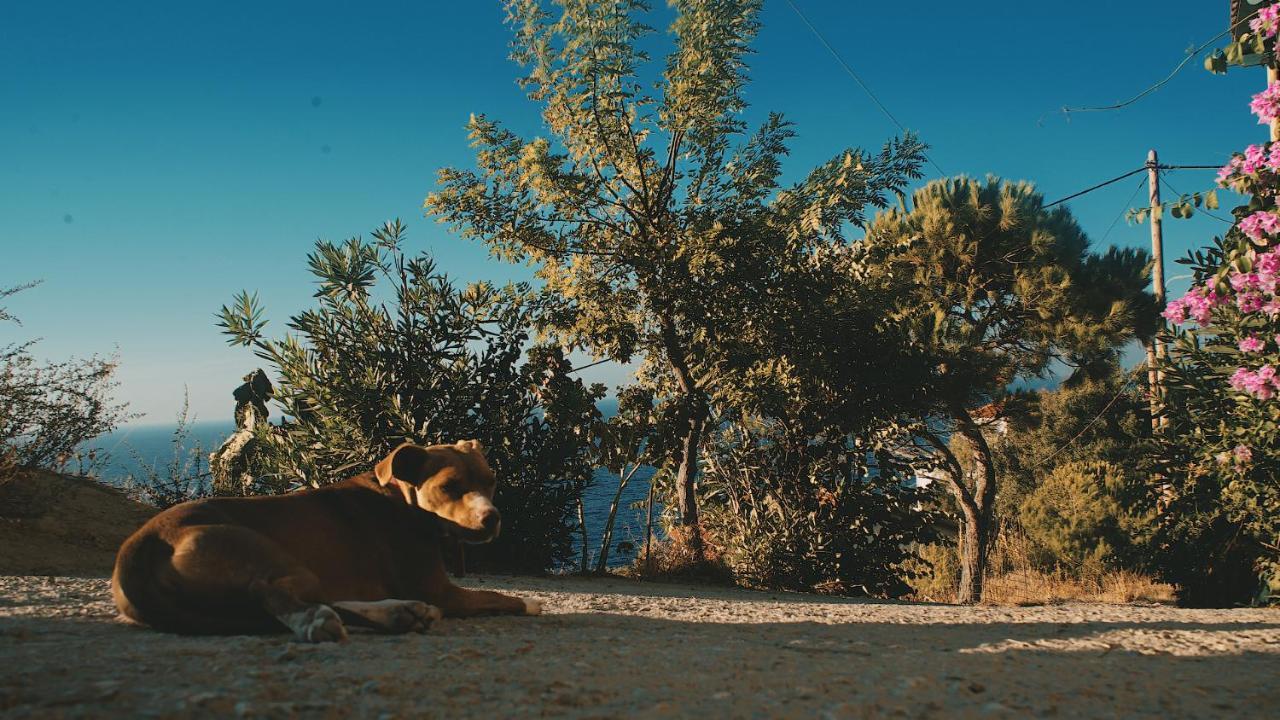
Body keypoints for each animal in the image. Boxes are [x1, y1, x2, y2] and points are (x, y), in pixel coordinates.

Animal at [111, 440, 545, 640]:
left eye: (490, 480)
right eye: (449, 487)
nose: (491, 519)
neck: (401, 496)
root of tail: (140, 543)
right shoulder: (439, 590)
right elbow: (497, 596)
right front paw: (530, 602)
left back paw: (399, 612)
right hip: (265, 553)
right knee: (272, 592)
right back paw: (317, 621)